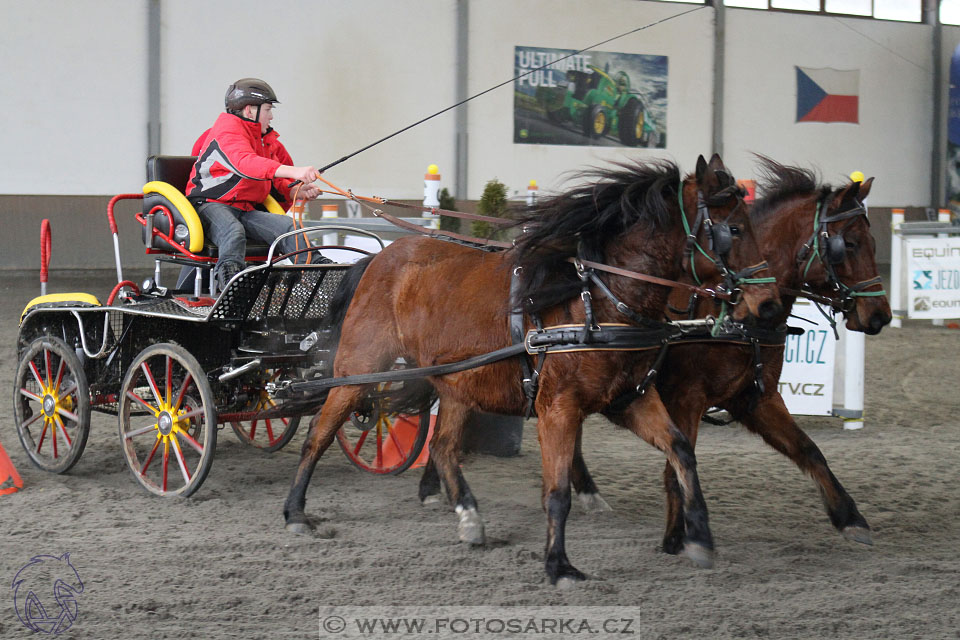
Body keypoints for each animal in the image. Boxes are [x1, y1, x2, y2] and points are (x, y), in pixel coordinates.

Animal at [284, 155, 780, 584]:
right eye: (734, 228)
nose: (769, 302)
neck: (596, 300)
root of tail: (377, 258)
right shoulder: (558, 409)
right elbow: (556, 492)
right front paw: (559, 565)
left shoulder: (629, 401)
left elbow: (681, 451)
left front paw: (699, 538)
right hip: (359, 368)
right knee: (320, 434)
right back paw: (295, 512)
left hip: (457, 384)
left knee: (443, 448)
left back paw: (469, 517)